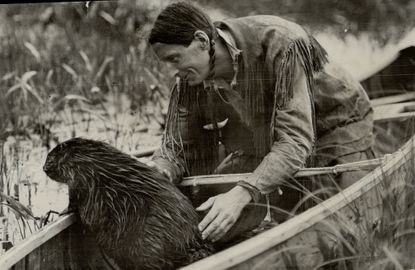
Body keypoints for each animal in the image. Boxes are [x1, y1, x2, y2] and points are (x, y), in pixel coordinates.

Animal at [43, 138, 213, 268]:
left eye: (49, 157)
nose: (43, 168)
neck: (83, 156)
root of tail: (194, 242)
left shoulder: (79, 177)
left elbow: (74, 199)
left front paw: (62, 212)